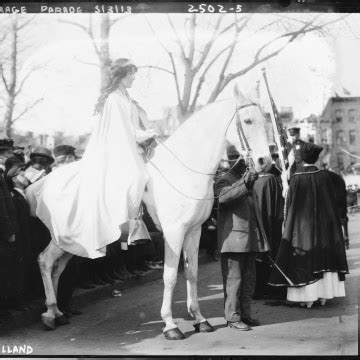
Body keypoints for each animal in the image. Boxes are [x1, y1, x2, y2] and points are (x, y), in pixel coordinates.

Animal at [32, 86, 272, 338]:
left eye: (265, 120)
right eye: (248, 121)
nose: (264, 161)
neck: (182, 170)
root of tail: (44, 183)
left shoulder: (194, 231)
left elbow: (192, 273)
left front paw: (199, 319)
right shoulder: (174, 233)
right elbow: (170, 276)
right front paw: (170, 325)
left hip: (74, 243)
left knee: (57, 268)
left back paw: (58, 313)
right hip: (65, 238)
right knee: (45, 261)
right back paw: (50, 314)